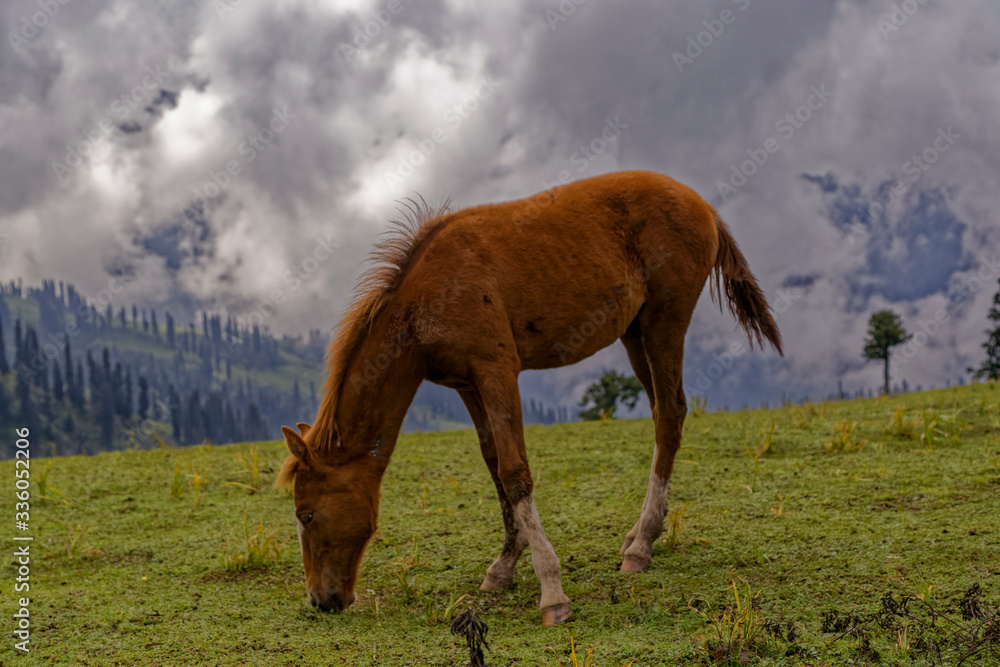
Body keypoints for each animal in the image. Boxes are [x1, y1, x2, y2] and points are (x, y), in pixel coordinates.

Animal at [278, 168, 784, 628]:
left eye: (307, 514)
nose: (321, 600)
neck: (426, 299)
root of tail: (704, 206)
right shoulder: (467, 384)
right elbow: (494, 469)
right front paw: (504, 565)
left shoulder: (497, 369)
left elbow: (516, 473)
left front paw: (552, 592)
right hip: (635, 332)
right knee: (664, 410)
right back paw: (641, 535)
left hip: (665, 320)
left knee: (670, 416)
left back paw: (640, 547)